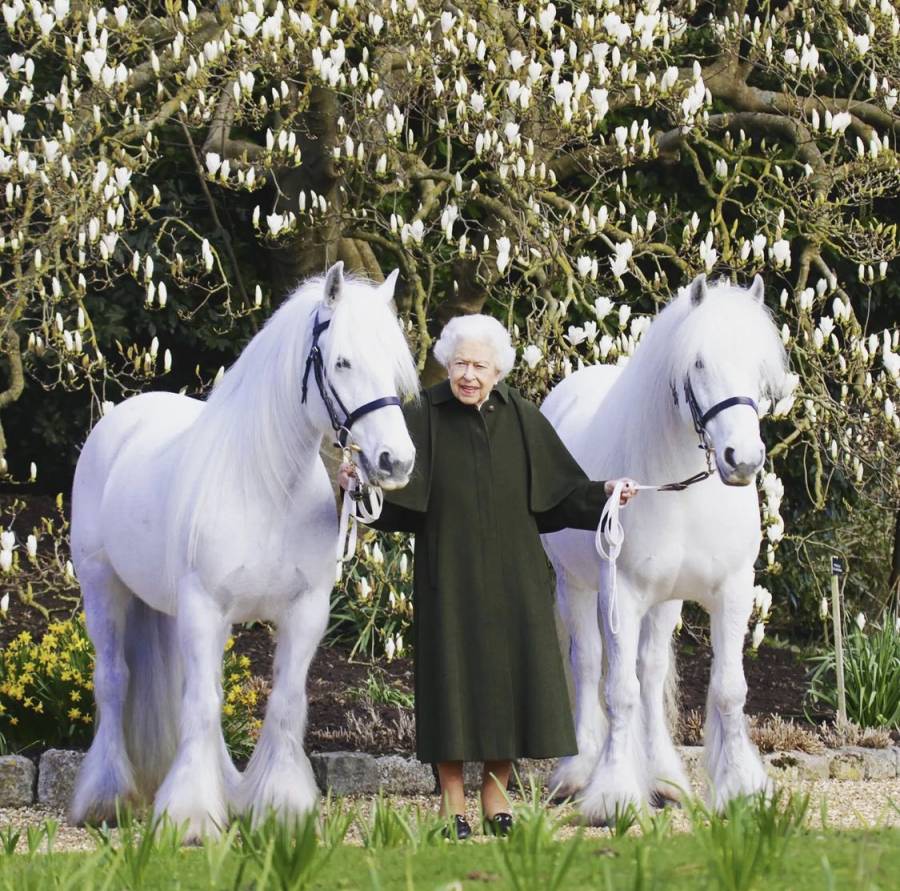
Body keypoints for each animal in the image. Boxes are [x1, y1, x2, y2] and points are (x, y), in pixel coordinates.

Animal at [68, 264, 416, 836]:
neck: (267, 487)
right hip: (103, 588)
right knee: (114, 681)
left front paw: (281, 806)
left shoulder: (305, 612)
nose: (396, 461)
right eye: (342, 361)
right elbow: (203, 705)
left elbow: (284, 702)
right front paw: (189, 816)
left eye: (392, 365)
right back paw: (107, 798)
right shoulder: (205, 607)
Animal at [540, 276, 788, 824]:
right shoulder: (622, 594)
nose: (743, 459)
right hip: (576, 586)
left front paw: (740, 789)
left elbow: (727, 689)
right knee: (588, 664)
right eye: (698, 363)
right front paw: (612, 795)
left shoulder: (733, 590)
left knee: (650, 672)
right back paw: (578, 771)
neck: (683, 491)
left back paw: (663, 778)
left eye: (759, 365)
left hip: (666, 601)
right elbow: (618, 691)